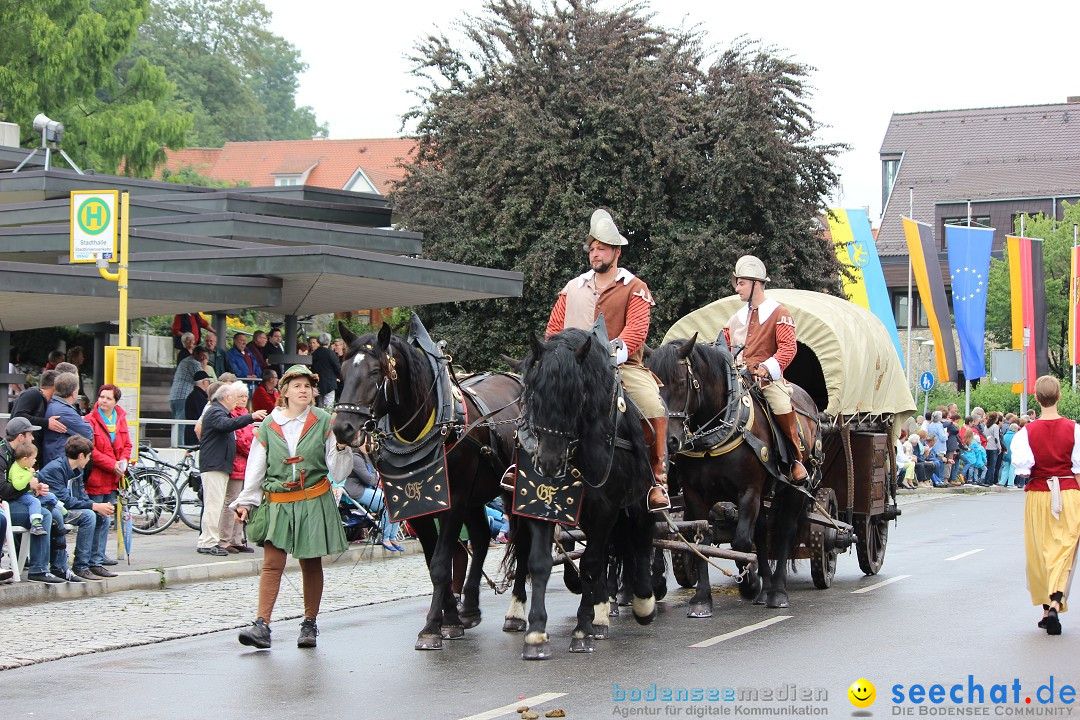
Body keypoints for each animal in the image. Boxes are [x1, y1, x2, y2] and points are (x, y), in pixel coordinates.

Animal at [334, 323, 524, 651]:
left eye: (375, 371)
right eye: (343, 371)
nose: (342, 428)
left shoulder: (453, 501)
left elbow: (440, 563)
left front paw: (432, 627)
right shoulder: (416, 506)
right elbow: (433, 560)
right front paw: (450, 620)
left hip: (512, 491)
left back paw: (517, 612)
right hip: (477, 496)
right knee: (481, 538)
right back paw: (470, 607)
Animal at [503, 330, 656, 660]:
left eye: (577, 396)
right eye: (533, 395)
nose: (548, 462)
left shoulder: (606, 509)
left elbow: (591, 563)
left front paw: (582, 630)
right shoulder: (538, 504)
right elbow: (539, 562)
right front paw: (536, 633)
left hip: (639, 500)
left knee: (641, 537)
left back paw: (641, 602)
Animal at [648, 336, 816, 613]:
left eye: (681, 383)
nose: (668, 441)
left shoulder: (748, 491)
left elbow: (741, 542)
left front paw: (749, 583)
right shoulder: (695, 495)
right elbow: (703, 541)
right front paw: (702, 598)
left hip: (794, 491)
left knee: (783, 532)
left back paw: (777, 591)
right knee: (761, 531)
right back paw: (766, 588)